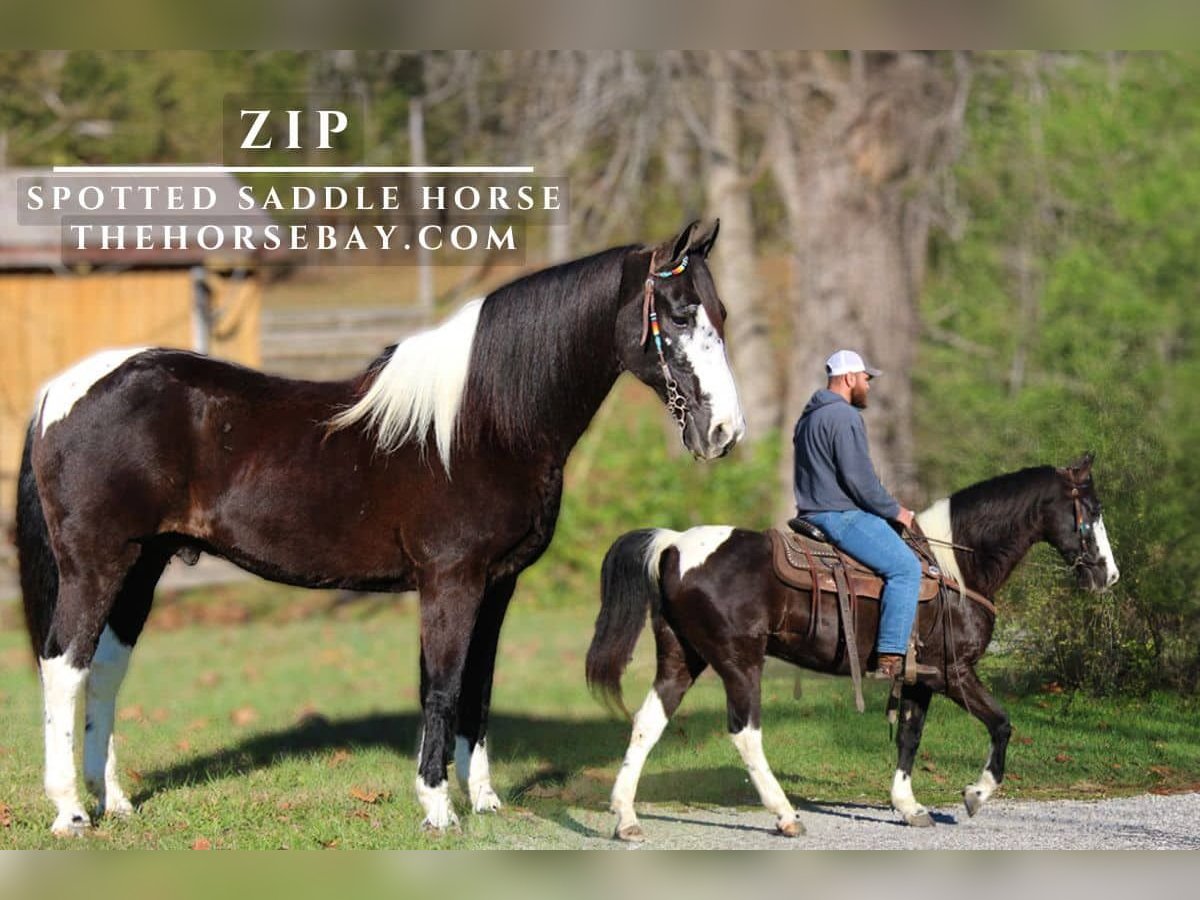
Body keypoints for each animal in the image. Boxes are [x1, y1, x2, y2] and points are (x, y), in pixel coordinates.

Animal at [18, 220, 744, 840]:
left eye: (721, 315)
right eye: (679, 314)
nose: (724, 432)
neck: (481, 424)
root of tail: (66, 388)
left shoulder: (497, 584)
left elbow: (478, 688)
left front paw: (483, 800)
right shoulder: (451, 580)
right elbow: (443, 685)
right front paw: (438, 807)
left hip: (143, 563)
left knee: (104, 669)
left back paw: (116, 802)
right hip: (98, 561)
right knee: (63, 664)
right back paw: (70, 812)